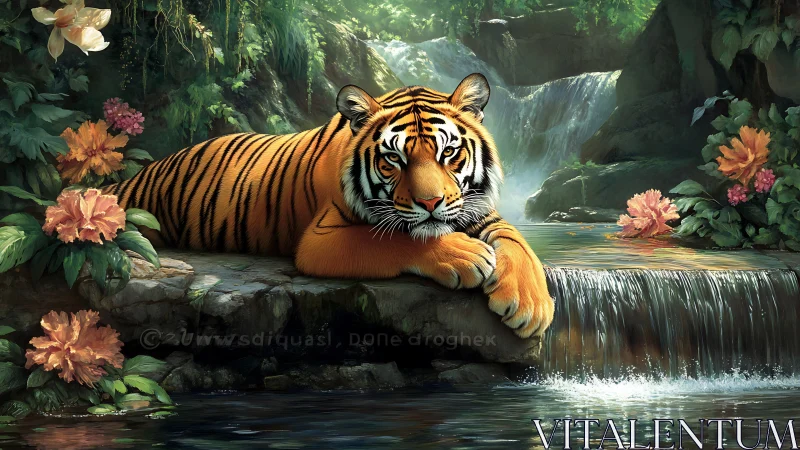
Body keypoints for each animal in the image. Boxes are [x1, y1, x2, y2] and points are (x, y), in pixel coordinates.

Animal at [106, 73, 554, 338]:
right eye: (394, 159)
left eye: (448, 153)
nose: (430, 202)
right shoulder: (319, 238)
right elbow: (393, 238)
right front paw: (465, 255)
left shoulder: (474, 208)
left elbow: (515, 239)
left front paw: (531, 304)